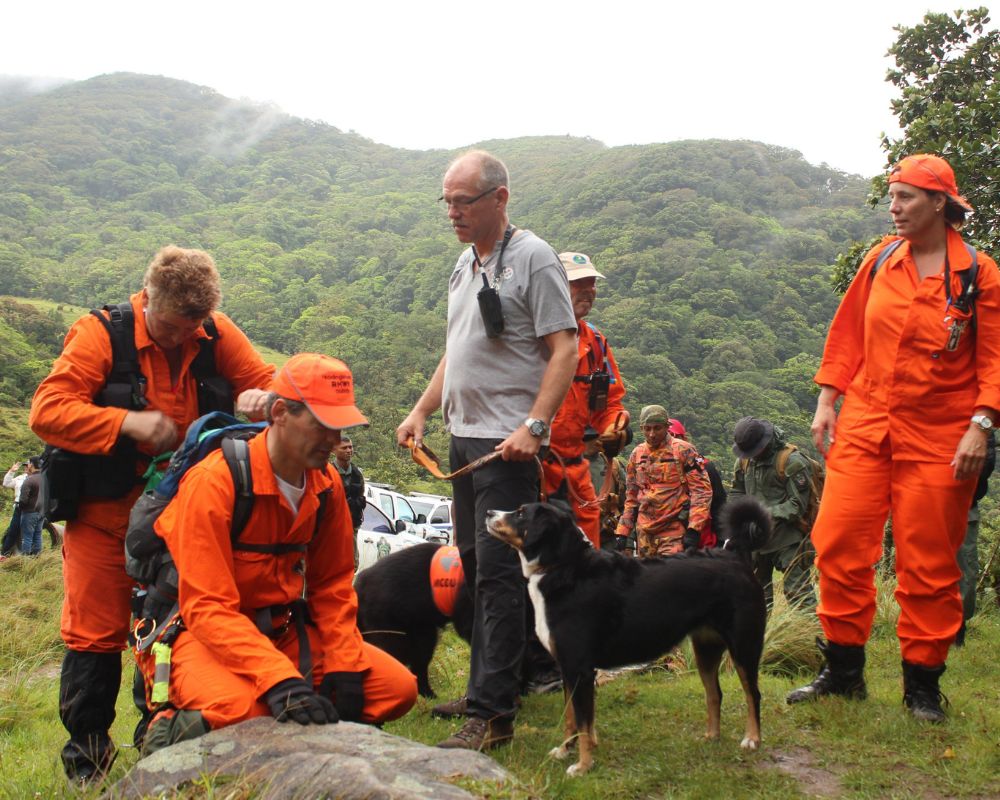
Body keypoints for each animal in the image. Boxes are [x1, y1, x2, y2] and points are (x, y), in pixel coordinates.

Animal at [488, 496, 768, 772]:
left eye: (521, 513)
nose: (490, 512)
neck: (564, 567)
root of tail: (733, 556)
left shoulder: (579, 668)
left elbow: (583, 722)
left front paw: (583, 765)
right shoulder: (567, 668)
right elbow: (571, 718)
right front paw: (565, 750)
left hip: (744, 647)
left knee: (752, 694)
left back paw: (752, 739)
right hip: (705, 649)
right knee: (714, 694)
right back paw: (711, 736)